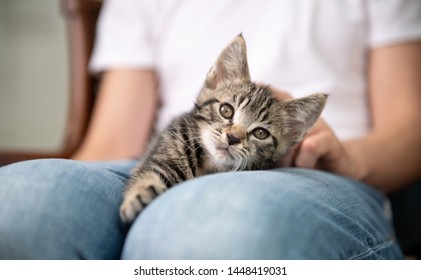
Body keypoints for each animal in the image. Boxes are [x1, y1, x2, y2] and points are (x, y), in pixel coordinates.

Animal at [120, 35, 326, 223]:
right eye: (226, 111)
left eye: (261, 133)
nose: (232, 138)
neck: (209, 165)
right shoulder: (165, 148)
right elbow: (150, 175)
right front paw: (141, 196)